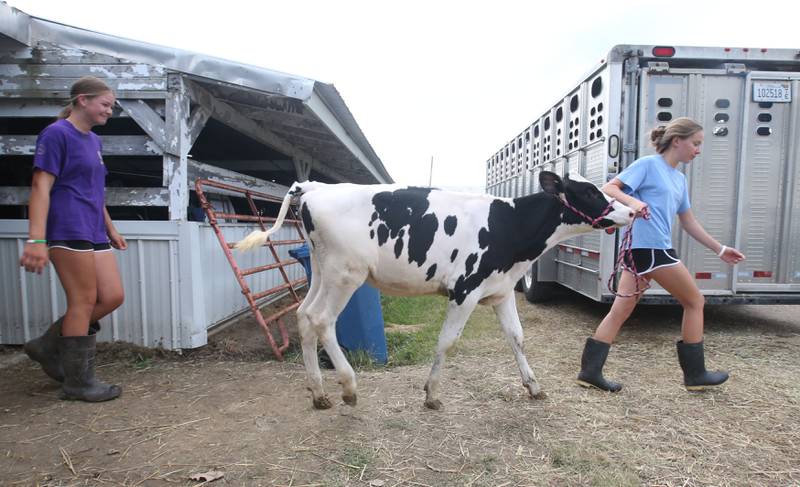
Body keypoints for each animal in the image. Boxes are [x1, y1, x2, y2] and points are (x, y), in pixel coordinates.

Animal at [234, 173, 636, 410]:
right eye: (588, 191)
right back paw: (347, 386)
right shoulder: (465, 290)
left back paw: (319, 393)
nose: (632, 212)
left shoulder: (502, 290)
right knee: (321, 320)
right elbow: (447, 341)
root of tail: (316, 187)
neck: (509, 225)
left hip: (321, 270)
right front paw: (432, 394)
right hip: (345, 273)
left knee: (304, 316)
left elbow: (517, 337)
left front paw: (534, 387)